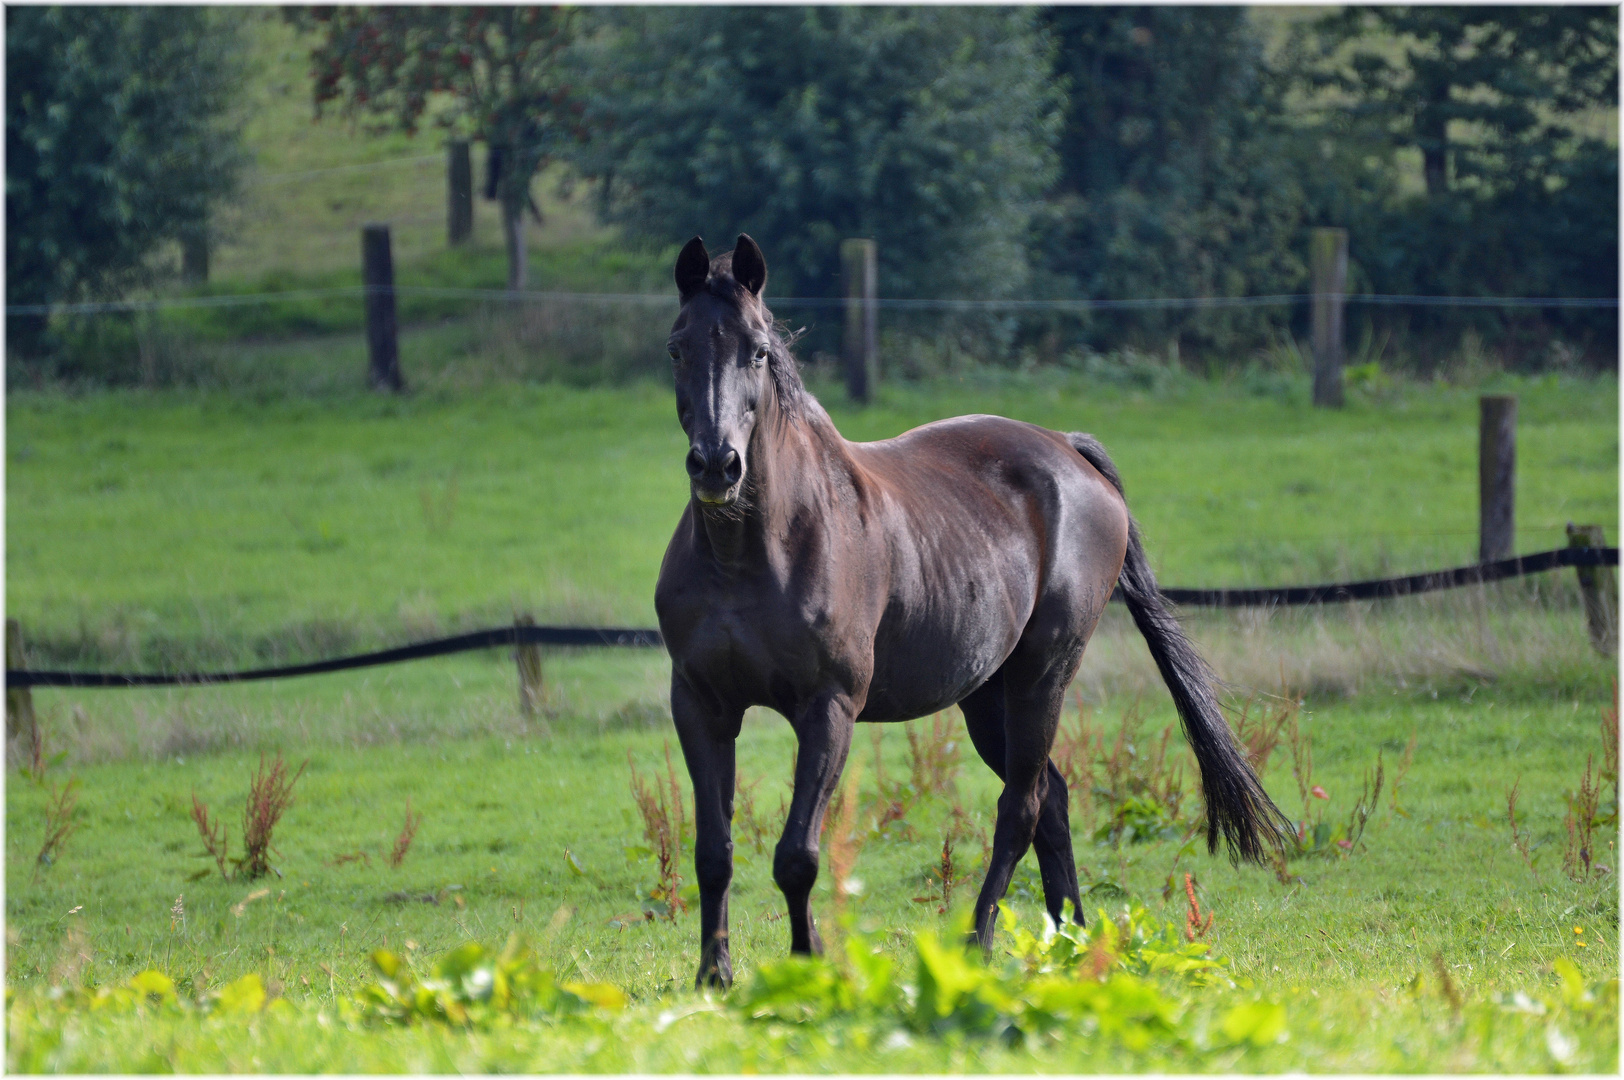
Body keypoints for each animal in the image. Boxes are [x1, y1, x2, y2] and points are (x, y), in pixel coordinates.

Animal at [652, 233, 1286, 987]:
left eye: (755, 351)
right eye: (678, 347)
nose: (717, 466)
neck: (751, 551)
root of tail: (1072, 454)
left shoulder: (828, 709)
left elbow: (797, 855)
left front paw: (809, 968)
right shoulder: (702, 704)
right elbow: (713, 850)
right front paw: (713, 978)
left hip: (1042, 675)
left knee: (1023, 806)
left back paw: (979, 943)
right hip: (987, 694)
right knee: (1052, 800)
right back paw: (1070, 942)